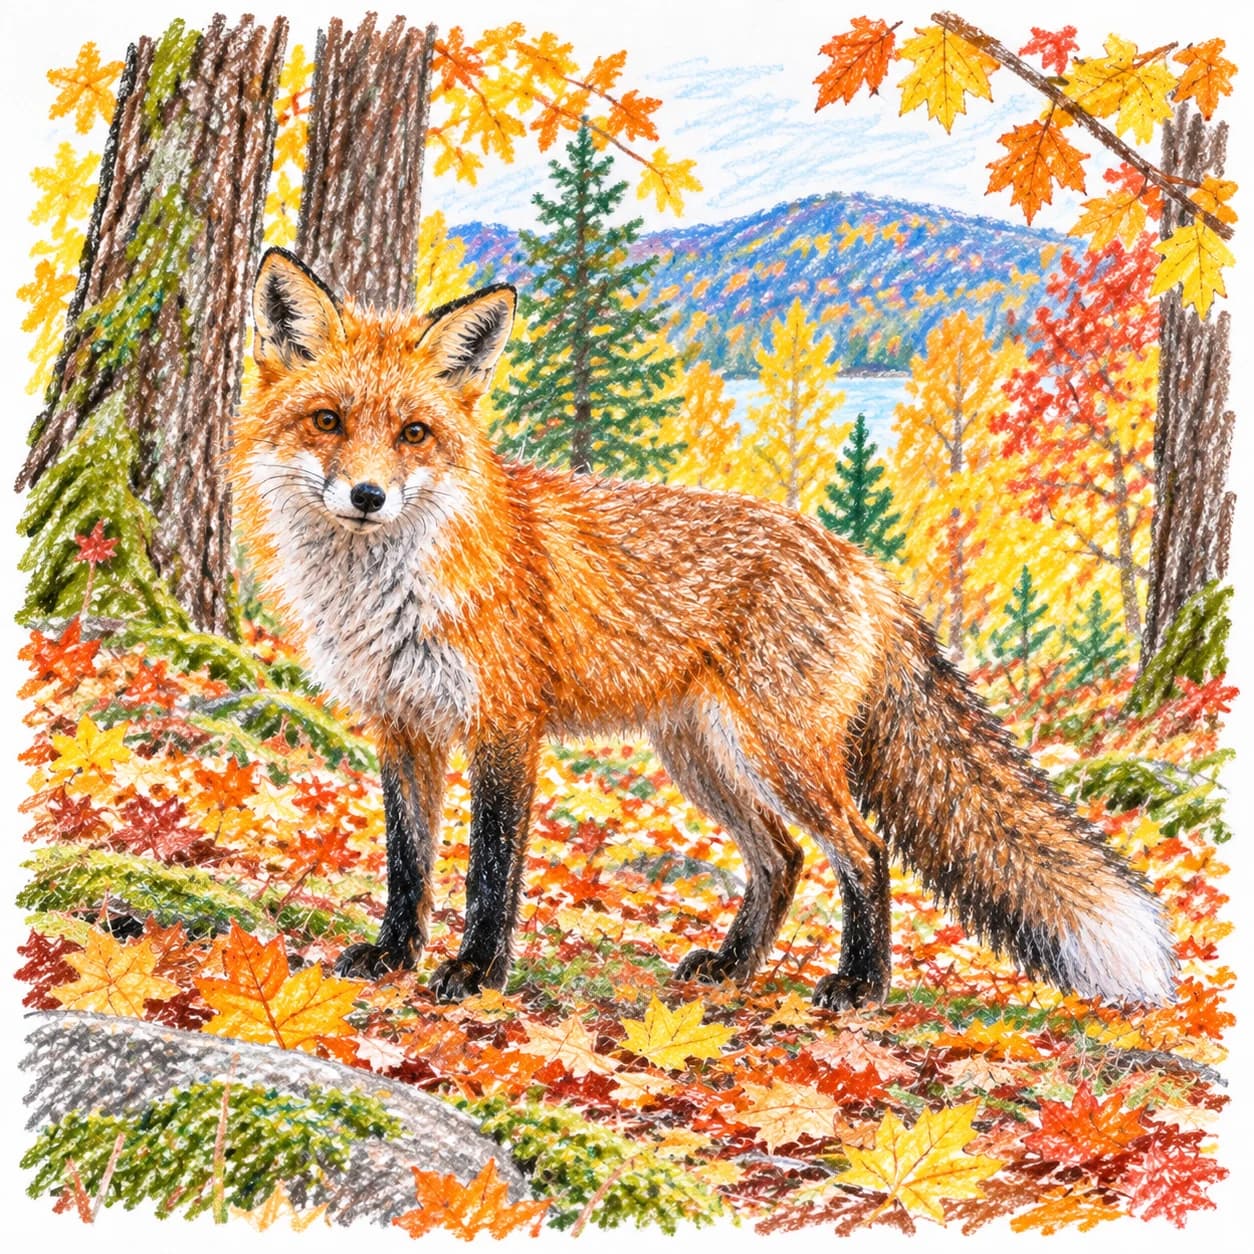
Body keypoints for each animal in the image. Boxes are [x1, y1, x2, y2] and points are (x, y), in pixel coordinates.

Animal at [231, 247, 1178, 1010]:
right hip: (704, 757)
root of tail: (862, 563)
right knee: (784, 860)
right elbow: (406, 864)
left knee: (863, 852)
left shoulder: (504, 724)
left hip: (780, 753)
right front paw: (393, 955)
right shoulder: (404, 725)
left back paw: (860, 985)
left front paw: (475, 972)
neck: (386, 591)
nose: (367, 496)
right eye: (328, 421)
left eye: (414, 433)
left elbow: (490, 869)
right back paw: (733, 969)